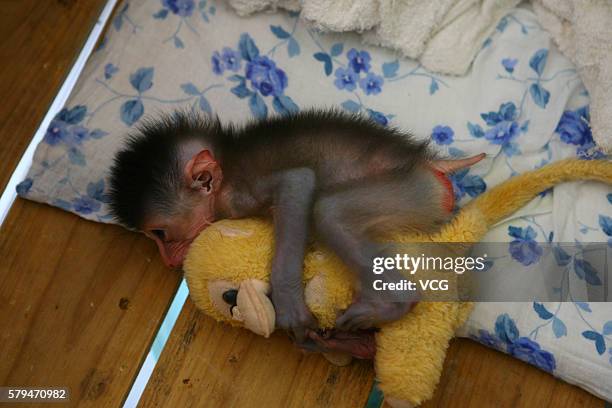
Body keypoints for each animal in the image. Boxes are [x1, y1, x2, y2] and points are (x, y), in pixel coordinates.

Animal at [109, 109, 482, 344]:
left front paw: (289, 307)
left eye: (160, 234)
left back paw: (390, 303)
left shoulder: (237, 197)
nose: (167, 259)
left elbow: (297, 182)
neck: (225, 168)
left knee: (328, 210)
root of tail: (427, 163)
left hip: (409, 190)